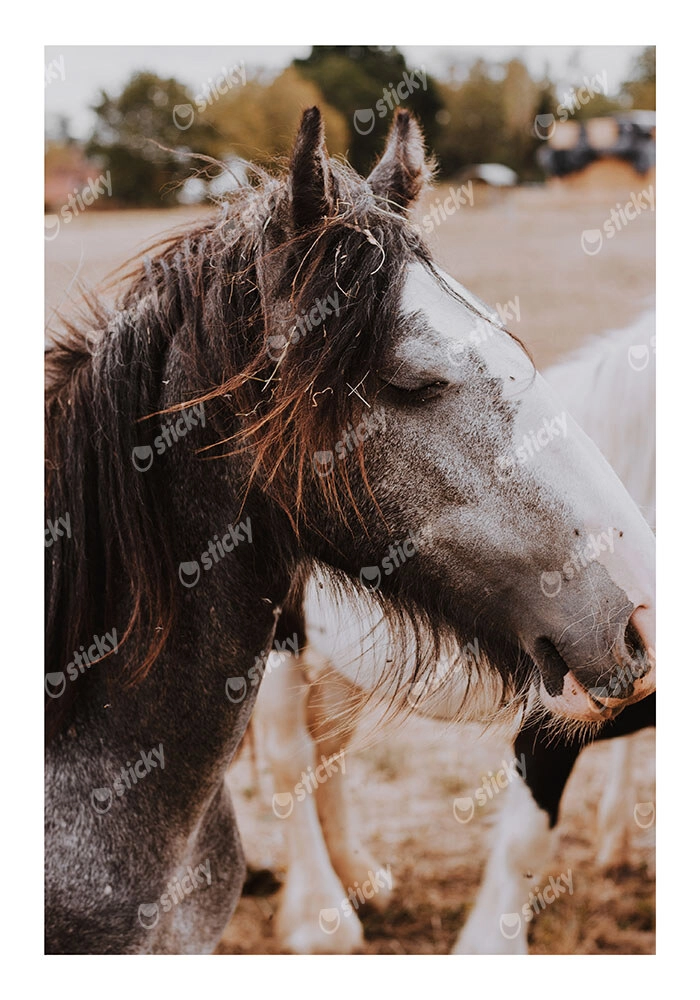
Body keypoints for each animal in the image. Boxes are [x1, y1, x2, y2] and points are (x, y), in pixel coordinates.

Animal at [252, 309, 656, 954]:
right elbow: (526, 838)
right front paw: (491, 943)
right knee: (288, 755)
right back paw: (320, 917)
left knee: (326, 748)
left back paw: (357, 877)